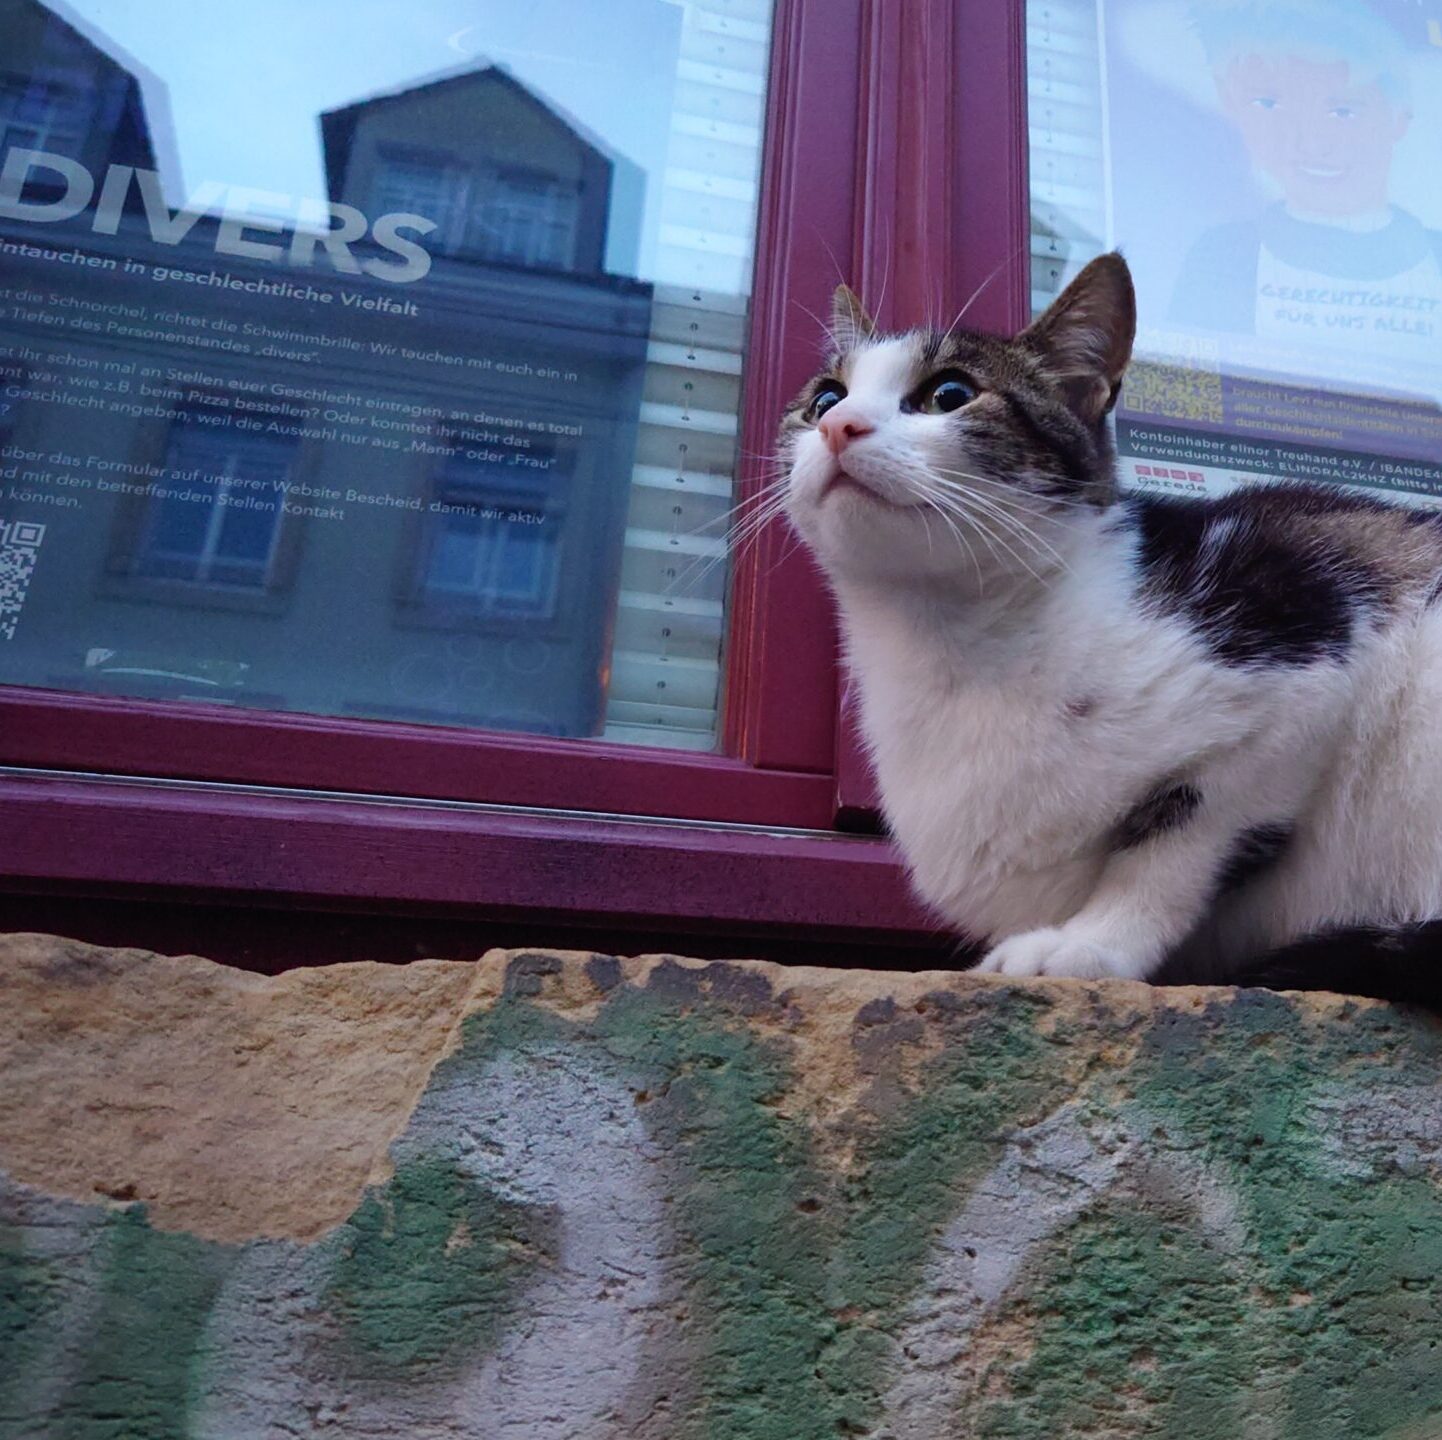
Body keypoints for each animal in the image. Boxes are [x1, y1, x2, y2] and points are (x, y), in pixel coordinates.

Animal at [784, 253, 1442, 1009]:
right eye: (824, 399)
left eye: (950, 393)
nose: (839, 426)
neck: (948, 642)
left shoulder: (1304, 643)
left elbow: (1176, 840)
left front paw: (1091, 943)